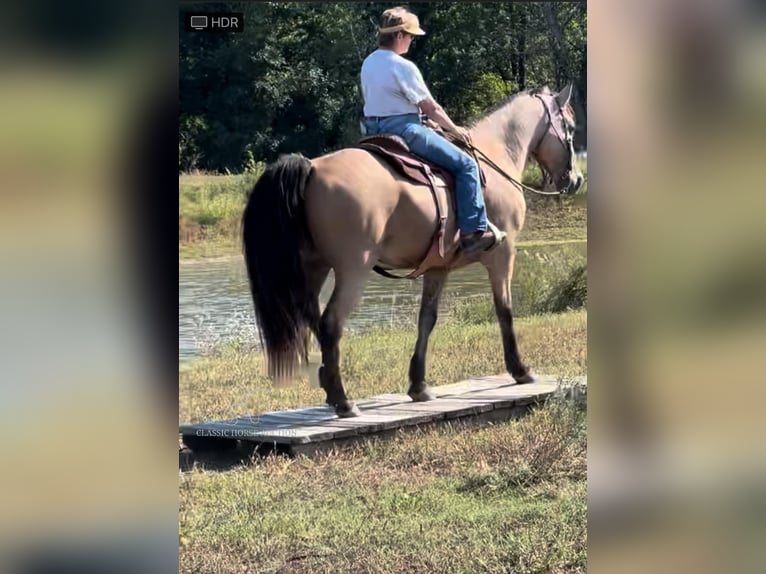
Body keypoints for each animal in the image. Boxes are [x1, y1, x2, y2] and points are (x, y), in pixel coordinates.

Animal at [243, 84, 584, 418]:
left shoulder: (438, 267)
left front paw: (419, 385)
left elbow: (426, 320)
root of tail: (312, 167)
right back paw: (343, 401)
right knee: (331, 324)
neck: (495, 153)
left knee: (313, 319)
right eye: (569, 127)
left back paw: (329, 388)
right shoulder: (503, 254)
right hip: (354, 269)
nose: (577, 179)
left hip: (314, 267)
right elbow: (505, 310)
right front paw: (520, 370)